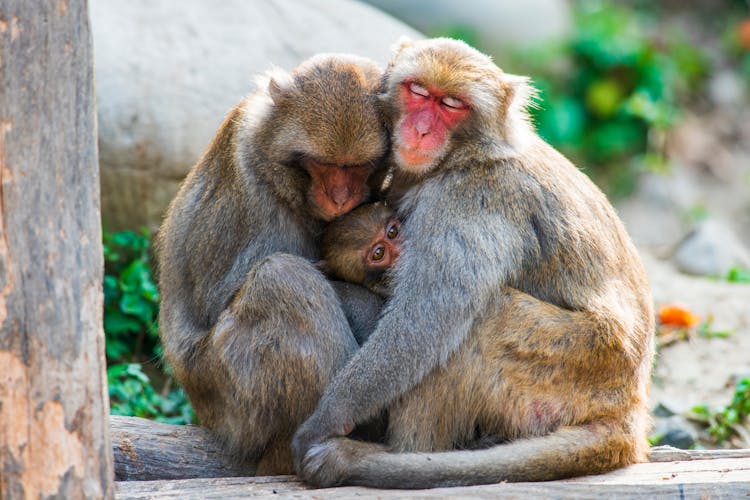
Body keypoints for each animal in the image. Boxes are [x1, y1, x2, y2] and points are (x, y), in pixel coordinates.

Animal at [153, 52, 388, 474]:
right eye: (323, 164)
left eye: (356, 167)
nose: (340, 197)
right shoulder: (249, 190)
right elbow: (223, 297)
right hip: (232, 403)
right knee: (281, 278)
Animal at [290, 38, 656, 488]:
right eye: (418, 91)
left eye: (451, 104)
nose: (421, 130)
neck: (462, 157)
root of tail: (629, 410)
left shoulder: (469, 203)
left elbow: (425, 323)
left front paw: (325, 419)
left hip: (580, 364)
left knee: (481, 322)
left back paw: (401, 455)